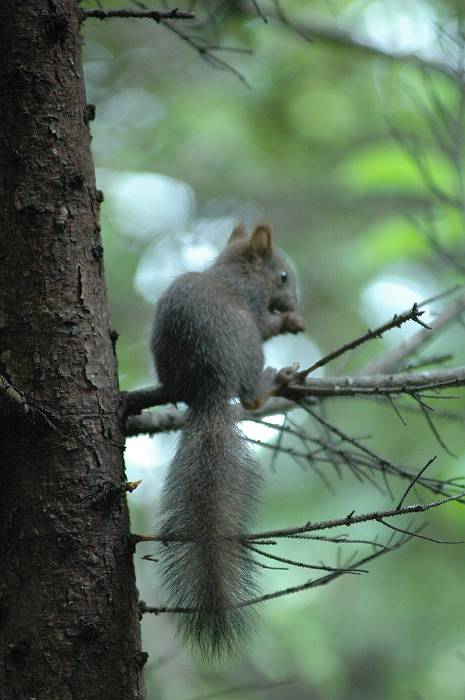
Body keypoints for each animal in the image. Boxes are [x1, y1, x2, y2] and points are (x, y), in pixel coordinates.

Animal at [150, 223, 306, 656]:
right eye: (283, 276)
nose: (294, 302)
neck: (235, 270)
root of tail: (209, 384)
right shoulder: (253, 303)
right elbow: (267, 325)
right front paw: (288, 322)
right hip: (249, 350)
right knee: (250, 394)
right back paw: (271, 382)